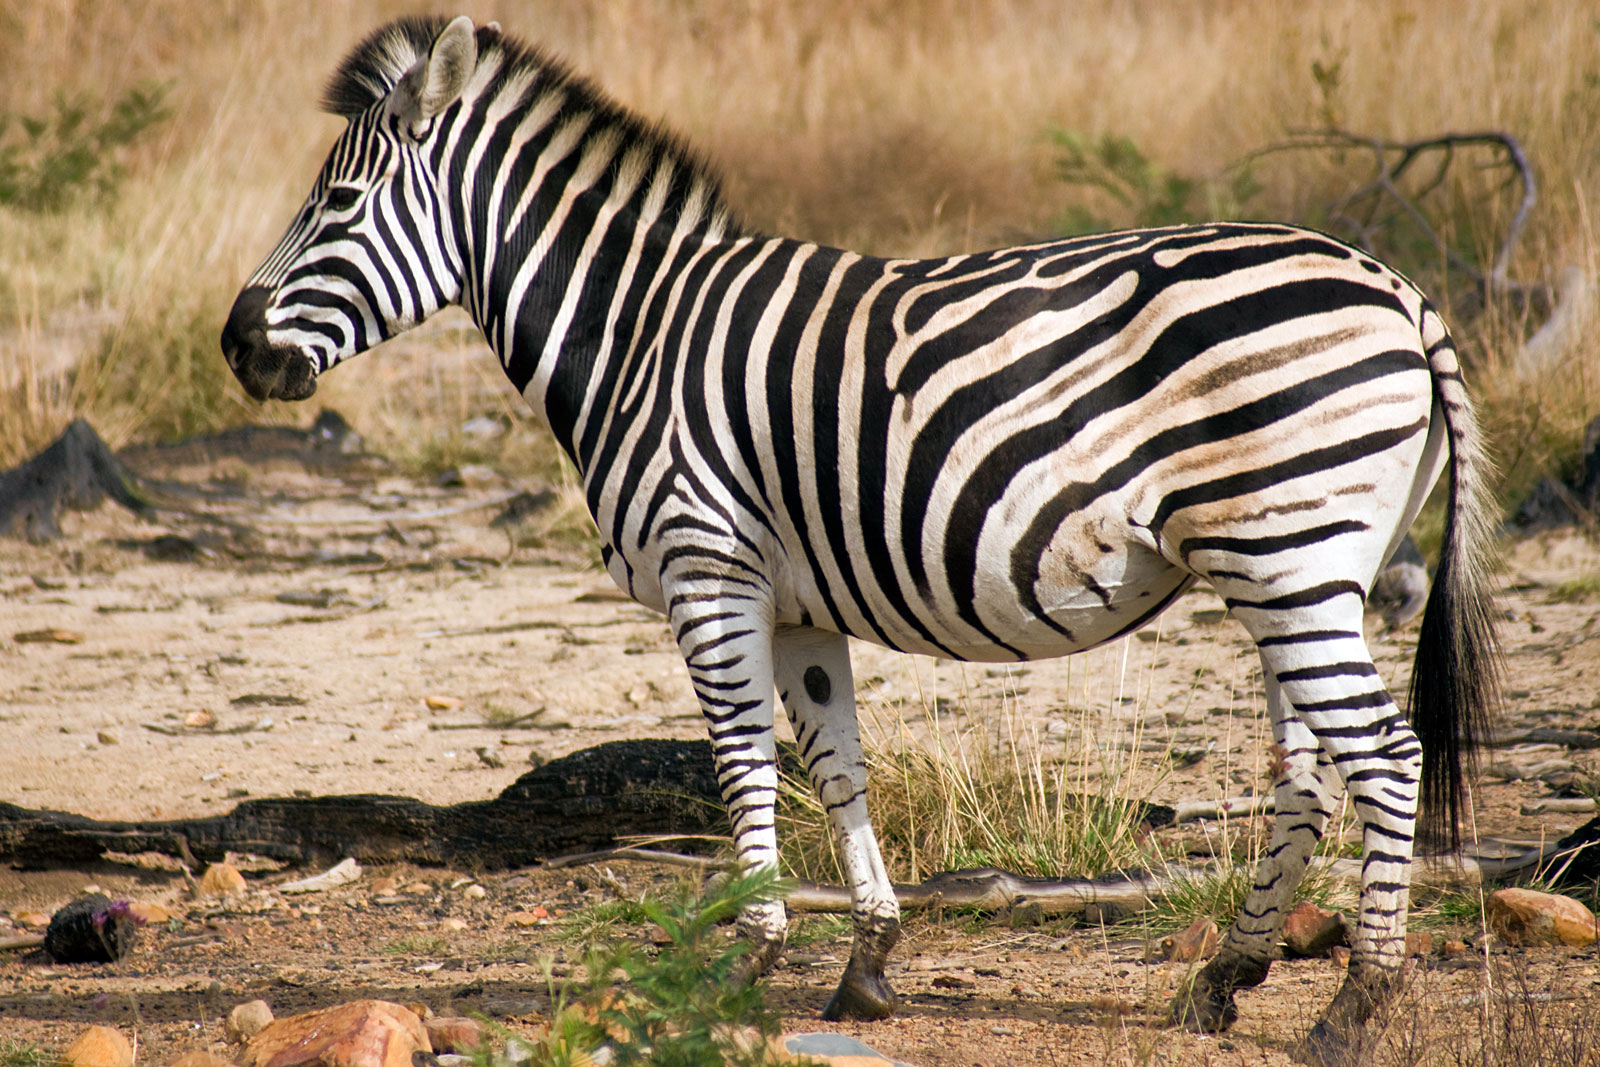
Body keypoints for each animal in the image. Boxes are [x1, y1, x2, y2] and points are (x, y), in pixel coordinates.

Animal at [220, 16, 1499, 1060]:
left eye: (336, 206)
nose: (234, 344)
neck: (635, 332)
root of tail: (1398, 288)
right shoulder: (796, 603)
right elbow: (834, 764)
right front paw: (866, 964)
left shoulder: (708, 568)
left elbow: (740, 762)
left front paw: (744, 958)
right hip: (1292, 566)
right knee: (1309, 774)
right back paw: (1226, 977)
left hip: (1287, 552)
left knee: (1384, 755)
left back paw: (1358, 1005)